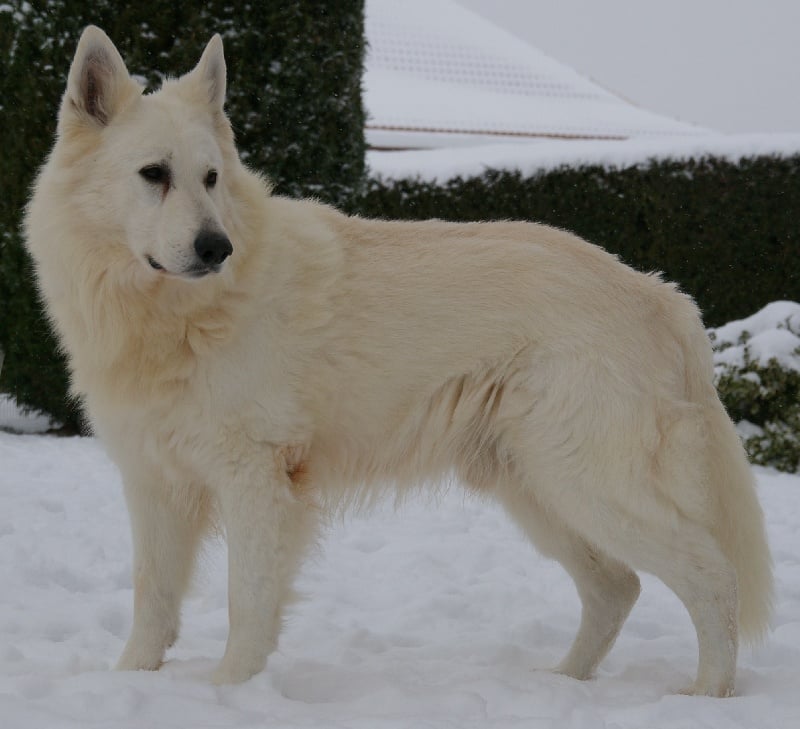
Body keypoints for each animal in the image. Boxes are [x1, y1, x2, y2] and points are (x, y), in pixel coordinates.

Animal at [26, 28, 776, 696]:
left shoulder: (256, 480)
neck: (174, 315)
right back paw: (564, 684)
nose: (216, 248)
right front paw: (130, 683)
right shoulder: (154, 481)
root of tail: (660, 293)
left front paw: (229, 694)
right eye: (154, 175)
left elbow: (247, 603)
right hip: (535, 486)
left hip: (585, 481)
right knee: (616, 585)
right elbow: (151, 601)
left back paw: (704, 696)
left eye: (210, 178)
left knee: (712, 575)